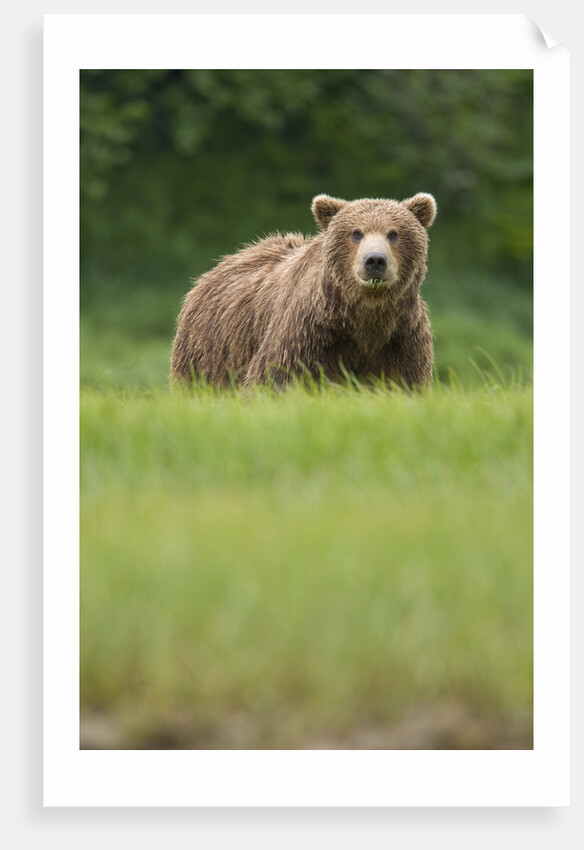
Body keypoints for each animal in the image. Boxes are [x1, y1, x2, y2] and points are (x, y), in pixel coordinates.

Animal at [171, 193, 437, 388]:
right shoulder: (308, 333)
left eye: (393, 233)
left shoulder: (401, 338)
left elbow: (403, 382)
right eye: (356, 232)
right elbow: (274, 377)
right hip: (209, 351)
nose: (375, 260)